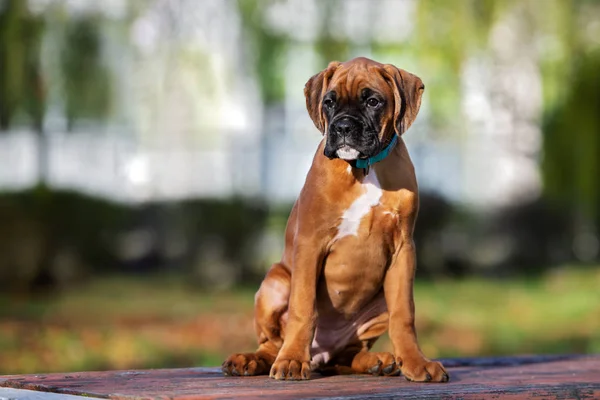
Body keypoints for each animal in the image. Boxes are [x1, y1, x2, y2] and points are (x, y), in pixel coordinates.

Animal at [223, 56, 448, 382]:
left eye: (372, 101)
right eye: (329, 102)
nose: (342, 126)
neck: (362, 167)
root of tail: (321, 354)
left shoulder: (403, 249)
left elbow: (404, 314)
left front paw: (415, 362)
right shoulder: (310, 244)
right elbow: (303, 308)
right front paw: (292, 360)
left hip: (378, 303)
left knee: (348, 354)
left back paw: (378, 361)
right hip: (274, 282)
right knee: (271, 344)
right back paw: (253, 359)